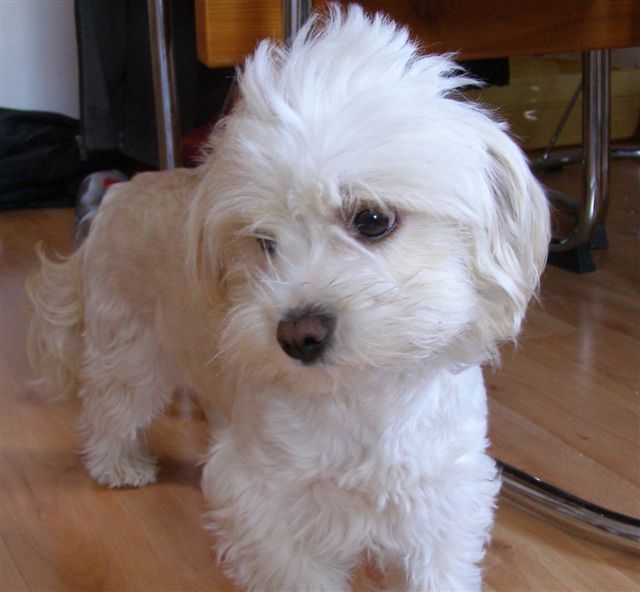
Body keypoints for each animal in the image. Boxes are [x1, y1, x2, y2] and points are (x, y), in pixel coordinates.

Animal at [27, 5, 550, 590]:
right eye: (264, 241)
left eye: (373, 219)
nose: (297, 335)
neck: (363, 396)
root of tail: (121, 190)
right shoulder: (272, 508)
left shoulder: (442, 496)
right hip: (131, 354)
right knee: (108, 409)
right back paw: (117, 464)